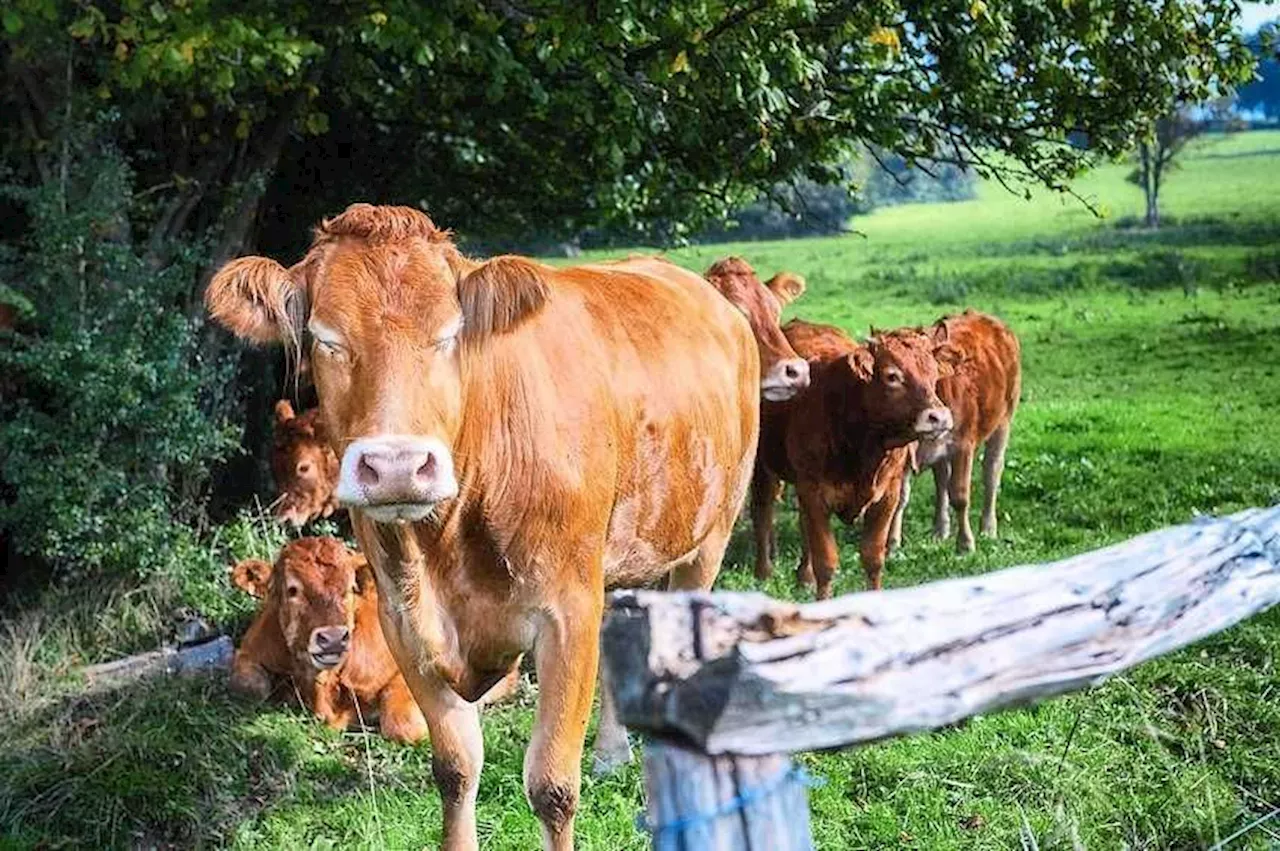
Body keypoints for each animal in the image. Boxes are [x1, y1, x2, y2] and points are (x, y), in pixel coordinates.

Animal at [227, 537, 427, 742]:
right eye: (292, 590)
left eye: (350, 589)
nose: (334, 639)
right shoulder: (249, 651)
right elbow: (249, 688)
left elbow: (402, 726)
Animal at [747, 318, 962, 596]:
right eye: (892, 376)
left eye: (934, 373)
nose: (939, 417)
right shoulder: (814, 493)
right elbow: (826, 562)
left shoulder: (887, 497)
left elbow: (873, 558)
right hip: (763, 464)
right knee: (762, 508)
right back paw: (763, 572)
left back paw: (804, 576)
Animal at [890, 308, 1018, 555]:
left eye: (929, 367)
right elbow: (900, 497)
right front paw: (891, 544)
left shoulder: (963, 445)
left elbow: (960, 496)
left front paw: (965, 543)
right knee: (942, 482)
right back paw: (940, 530)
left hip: (1004, 420)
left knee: (992, 471)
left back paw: (988, 528)